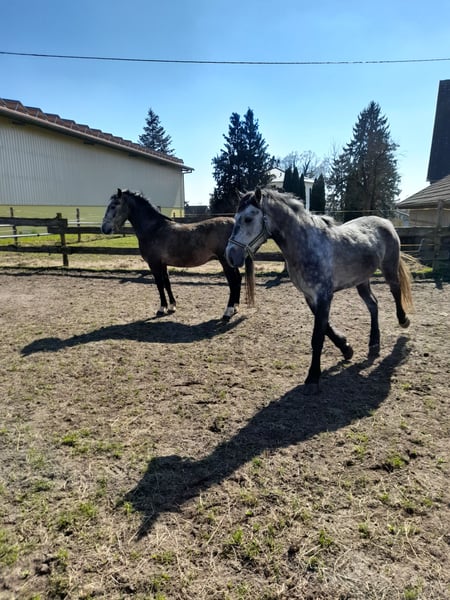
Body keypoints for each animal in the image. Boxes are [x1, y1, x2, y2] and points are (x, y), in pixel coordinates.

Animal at [101, 189, 254, 320]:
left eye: (113, 206)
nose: (104, 228)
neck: (154, 229)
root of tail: (234, 223)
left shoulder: (154, 264)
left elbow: (159, 284)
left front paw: (161, 308)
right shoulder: (163, 264)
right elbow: (167, 283)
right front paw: (172, 306)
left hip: (225, 262)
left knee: (233, 282)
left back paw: (228, 311)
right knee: (238, 280)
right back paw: (235, 308)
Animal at [226, 187, 413, 393]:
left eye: (248, 219)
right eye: (235, 218)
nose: (230, 255)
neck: (307, 246)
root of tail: (386, 222)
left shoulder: (324, 295)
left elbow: (318, 337)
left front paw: (313, 376)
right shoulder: (310, 296)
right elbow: (327, 329)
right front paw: (347, 349)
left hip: (389, 269)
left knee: (395, 291)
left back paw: (403, 321)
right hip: (362, 281)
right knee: (373, 304)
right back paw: (374, 343)